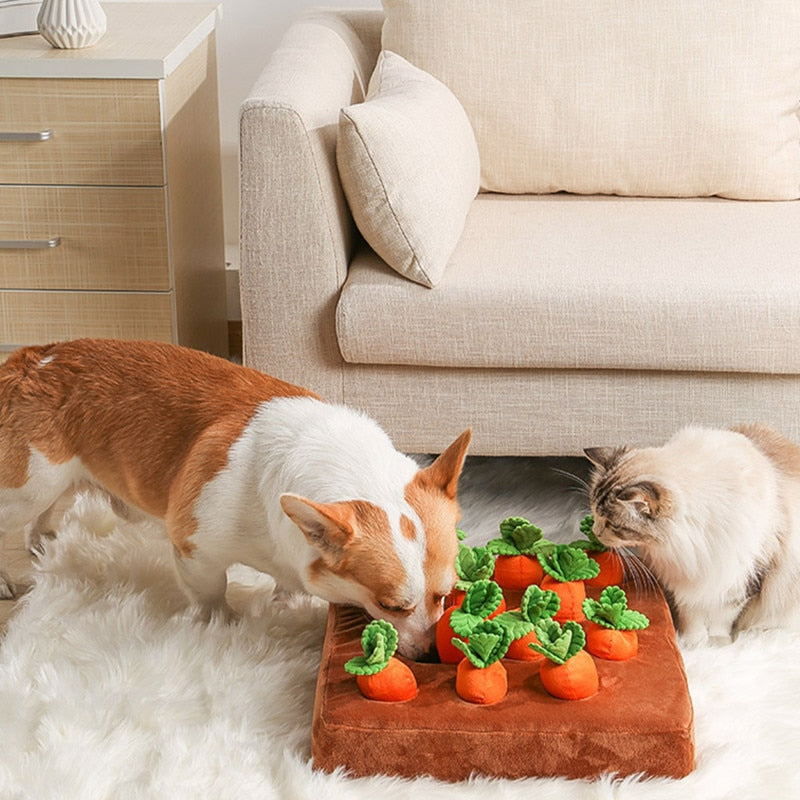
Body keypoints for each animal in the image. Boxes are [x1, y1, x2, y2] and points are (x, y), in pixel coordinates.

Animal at [0, 338, 472, 656]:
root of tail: (31, 359)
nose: (432, 653)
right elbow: (213, 590)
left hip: (62, 481)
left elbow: (287, 582)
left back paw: (43, 544)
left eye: (447, 593)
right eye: (390, 605)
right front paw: (222, 624)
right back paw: (14, 580)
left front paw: (287, 601)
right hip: (27, 487)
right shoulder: (196, 550)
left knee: (51, 509)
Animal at [584, 422, 800, 648]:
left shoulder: (738, 580)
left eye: (613, 525)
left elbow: (722, 618)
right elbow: (693, 617)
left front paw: (717, 643)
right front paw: (692, 643)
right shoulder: (687, 579)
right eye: (595, 513)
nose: (595, 533)